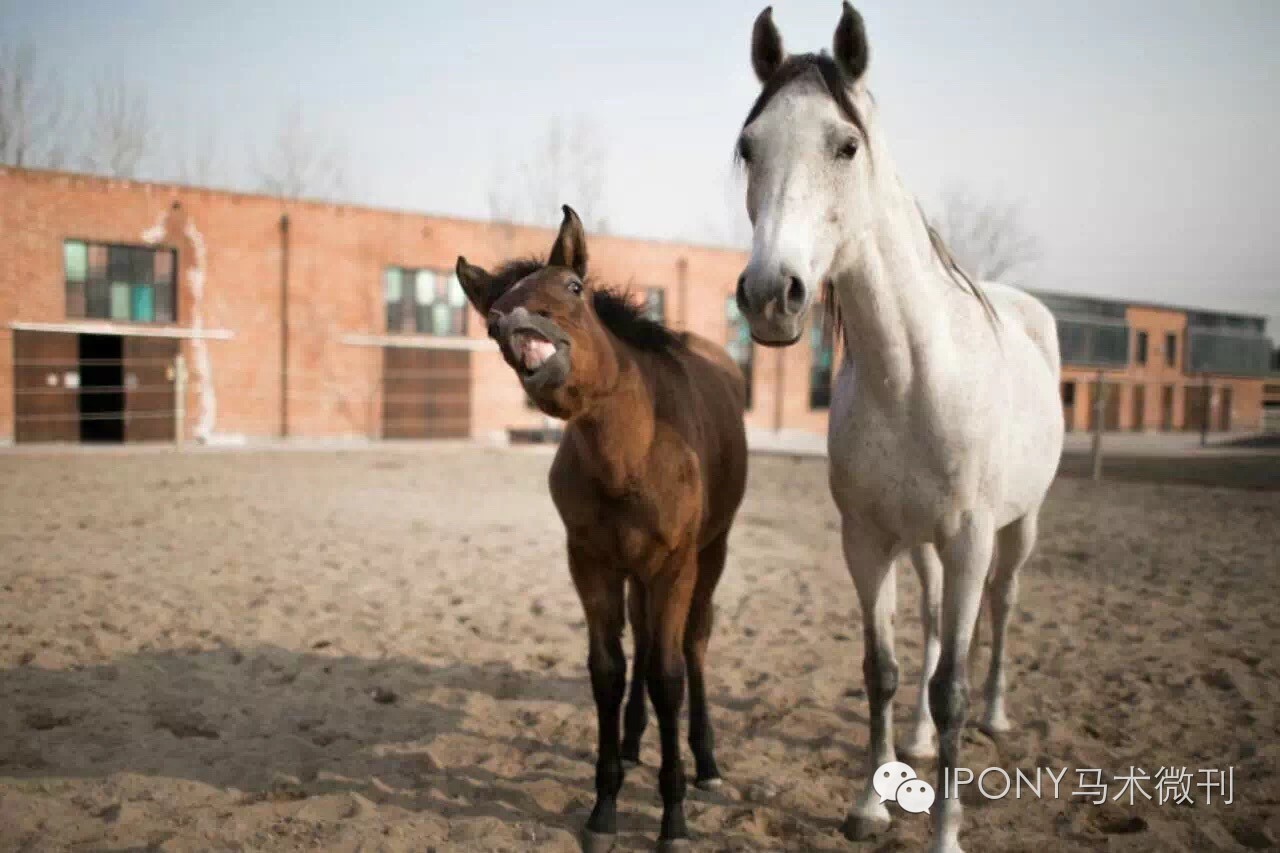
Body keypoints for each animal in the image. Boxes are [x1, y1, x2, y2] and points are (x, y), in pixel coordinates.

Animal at [458, 204, 747, 845]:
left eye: (572, 287)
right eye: (490, 316)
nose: (514, 323)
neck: (632, 455)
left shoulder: (675, 566)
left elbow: (668, 676)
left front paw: (673, 818)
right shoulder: (590, 563)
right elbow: (610, 672)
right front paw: (604, 807)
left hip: (711, 554)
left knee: (693, 645)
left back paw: (707, 764)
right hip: (635, 573)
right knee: (642, 640)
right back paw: (637, 744)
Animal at [737, 3, 1064, 845]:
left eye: (845, 145)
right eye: (749, 147)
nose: (770, 295)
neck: (914, 374)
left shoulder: (971, 538)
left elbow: (952, 681)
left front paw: (946, 829)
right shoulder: (868, 539)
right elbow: (881, 667)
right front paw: (869, 802)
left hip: (1018, 528)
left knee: (1000, 610)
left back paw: (996, 714)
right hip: (921, 545)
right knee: (932, 623)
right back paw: (914, 741)